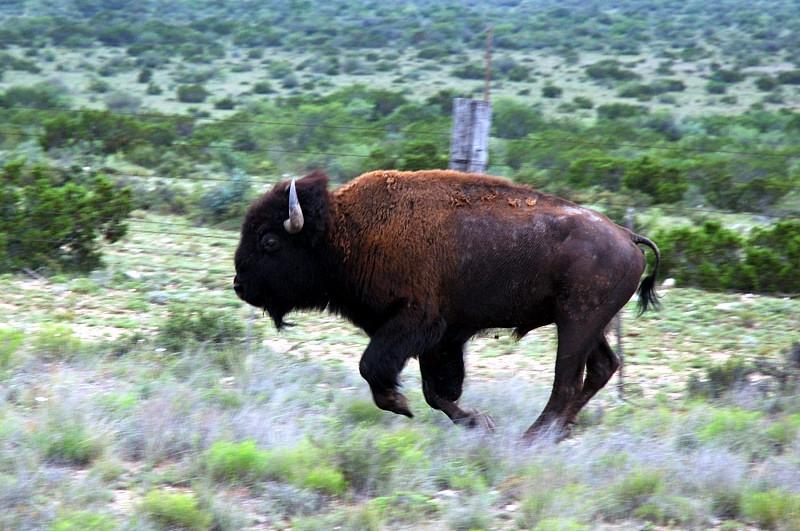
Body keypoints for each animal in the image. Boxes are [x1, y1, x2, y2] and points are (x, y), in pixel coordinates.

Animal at [233, 169, 660, 440]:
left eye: (269, 241)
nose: (240, 285)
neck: (346, 232)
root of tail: (626, 235)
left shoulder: (415, 324)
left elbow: (374, 368)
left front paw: (400, 404)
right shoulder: (442, 338)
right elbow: (437, 392)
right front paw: (477, 422)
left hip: (576, 322)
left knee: (566, 382)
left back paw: (533, 437)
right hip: (592, 324)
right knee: (602, 368)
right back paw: (554, 434)